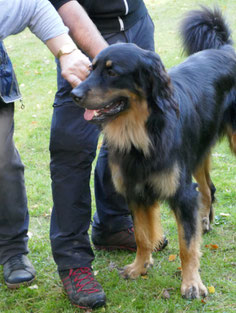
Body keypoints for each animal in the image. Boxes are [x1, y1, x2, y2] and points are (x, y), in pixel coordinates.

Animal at [72, 7, 236, 298]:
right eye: (91, 68)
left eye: (112, 72)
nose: (74, 93)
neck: (142, 133)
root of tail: (225, 48)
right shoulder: (134, 189)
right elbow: (142, 235)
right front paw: (140, 267)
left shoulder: (181, 193)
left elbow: (186, 245)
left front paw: (191, 283)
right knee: (207, 188)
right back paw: (204, 220)